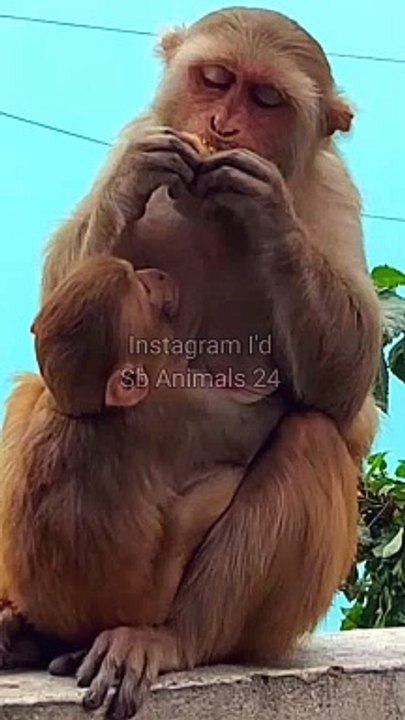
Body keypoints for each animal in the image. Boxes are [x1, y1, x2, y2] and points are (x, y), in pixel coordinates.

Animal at [28, 6, 381, 719]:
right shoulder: (137, 131)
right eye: (215, 80)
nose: (222, 127)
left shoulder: (334, 193)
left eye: (266, 98)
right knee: (41, 393)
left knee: (311, 437)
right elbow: (55, 304)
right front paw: (135, 177)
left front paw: (268, 209)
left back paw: (173, 639)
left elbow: (344, 394)